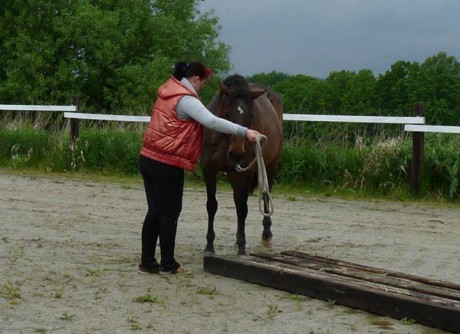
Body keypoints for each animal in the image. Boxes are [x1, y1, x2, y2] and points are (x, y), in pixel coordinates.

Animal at [202, 74, 284, 254]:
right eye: (226, 114)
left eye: (251, 116)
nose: (237, 154)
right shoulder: (209, 170)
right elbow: (212, 205)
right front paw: (209, 245)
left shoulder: (243, 174)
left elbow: (242, 209)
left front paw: (241, 246)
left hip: (269, 167)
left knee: (265, 195)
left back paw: (266, 234)